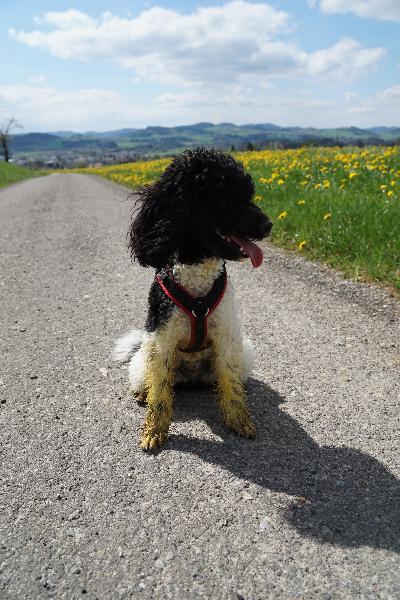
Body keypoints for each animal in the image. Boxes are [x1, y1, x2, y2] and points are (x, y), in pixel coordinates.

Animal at [113, 147, 272, 449]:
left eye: (249, 194)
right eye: (223, 199)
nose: (268, 225)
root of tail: (192, 377)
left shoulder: (226, 339)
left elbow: (231, 389)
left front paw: (239, 421)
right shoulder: (161, 343)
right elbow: (160, 395)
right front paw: (154, 431)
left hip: (242, 350)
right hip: (142, 361)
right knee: (151, 383)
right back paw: (143, 393)